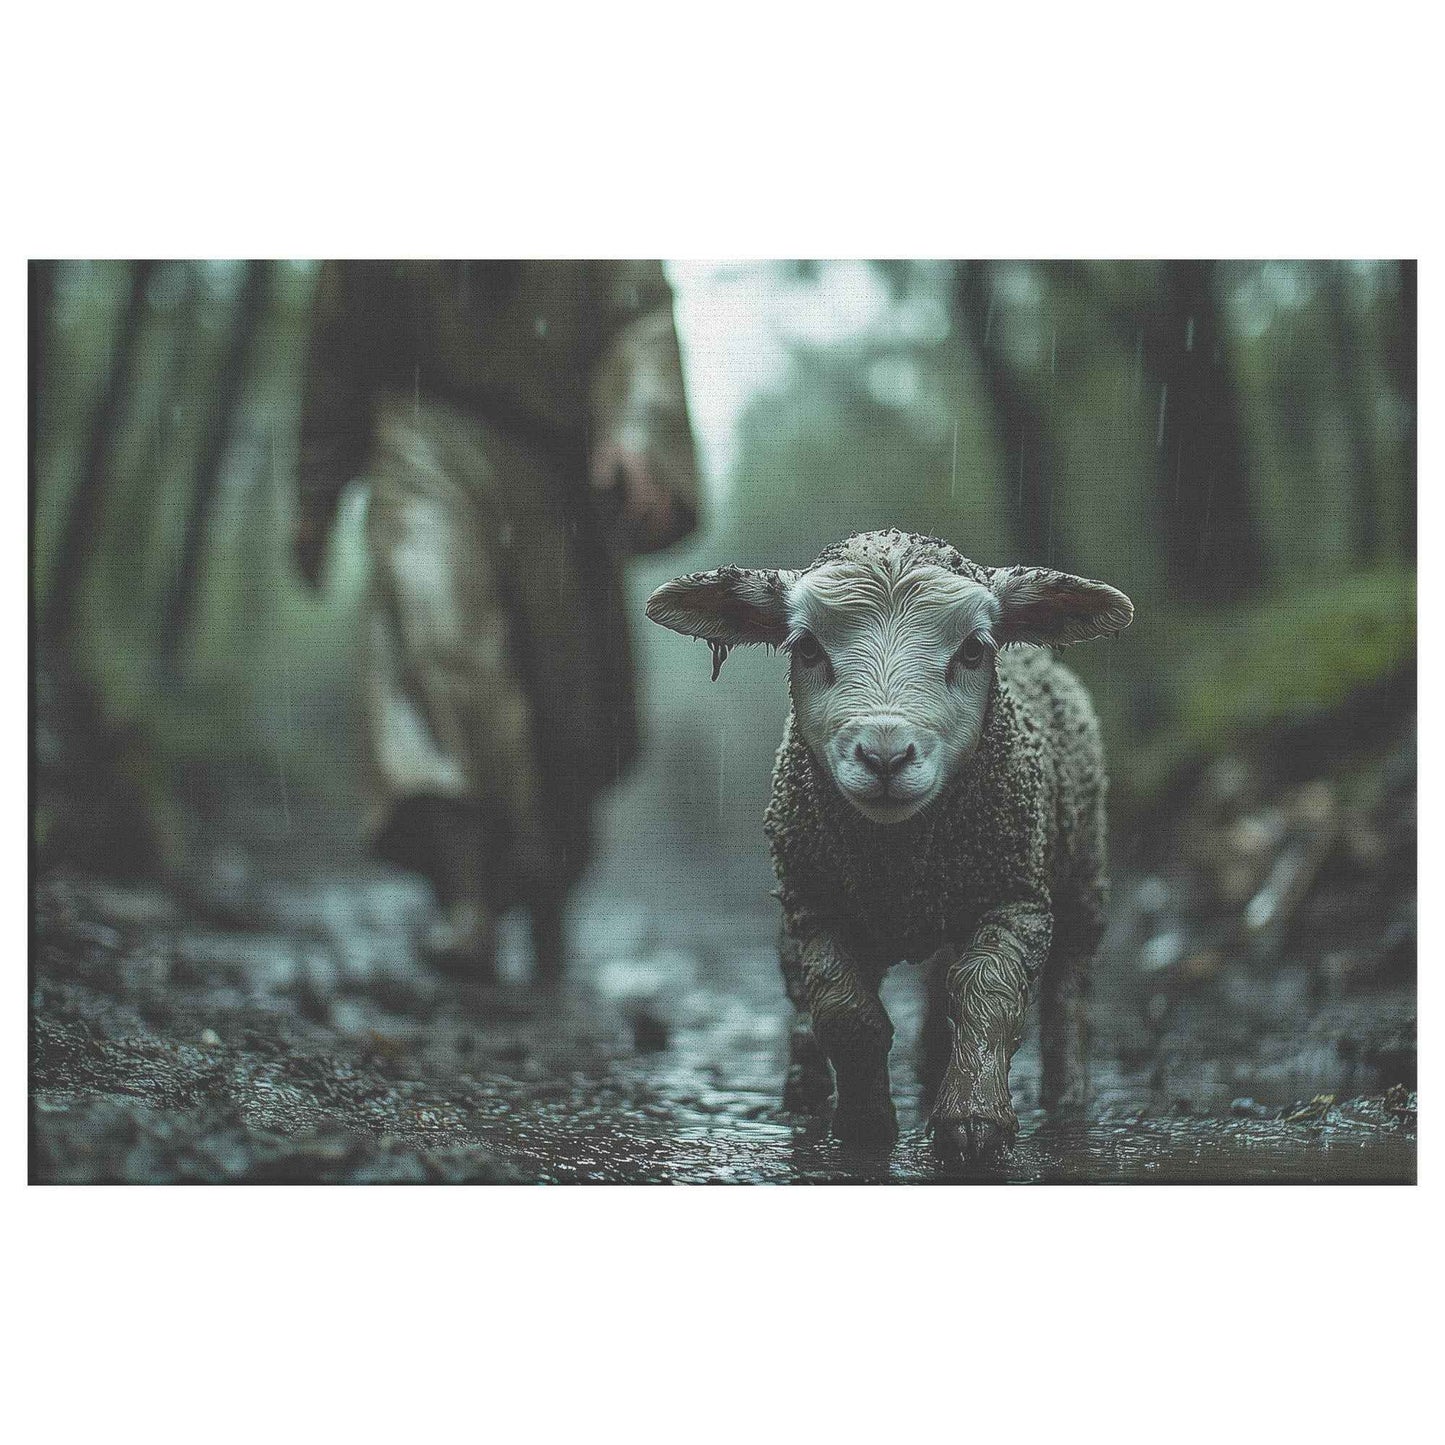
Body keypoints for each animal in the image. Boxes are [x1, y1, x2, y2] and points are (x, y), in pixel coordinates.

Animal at [645, 529, 1133, 1160]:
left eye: (972, 651)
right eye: (806, 648)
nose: (884, 756)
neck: (898, 859)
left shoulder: (1016, 897)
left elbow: (989, 995)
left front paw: (974, 1123)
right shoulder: (817, 904)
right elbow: (846, 1013)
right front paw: (865, 1125)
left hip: (1082, 874)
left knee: (1069, 985)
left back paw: (1067, 1094)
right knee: (816, 993)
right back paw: (814, 1088)